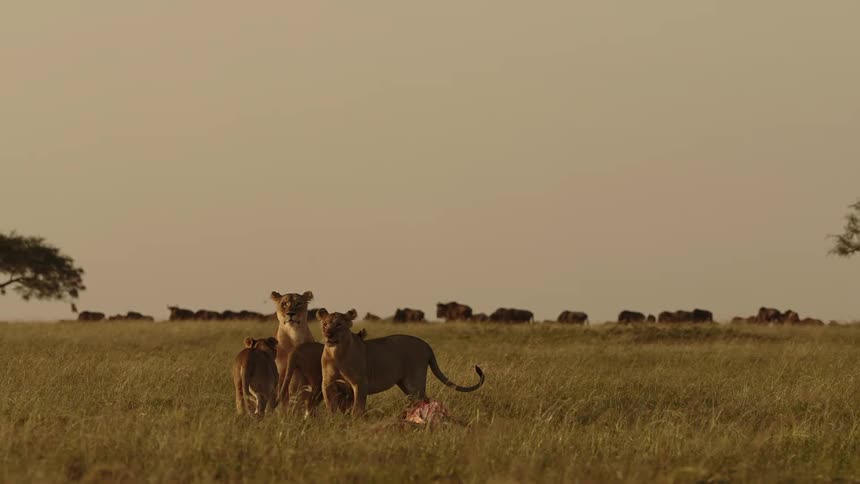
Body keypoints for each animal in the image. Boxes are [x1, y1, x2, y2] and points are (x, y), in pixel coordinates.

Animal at [310, 308, 484, 416]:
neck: (337, 353)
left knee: (424, 400)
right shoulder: (328, 384)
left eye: (339, 325)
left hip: (414, 382)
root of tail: (426, 345)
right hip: (405, 384)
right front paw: (334, 421)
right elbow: (331, 406)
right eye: (324, 324)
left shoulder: (360, 383)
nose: (328, 334)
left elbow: (357, 408)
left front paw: (353, 421)